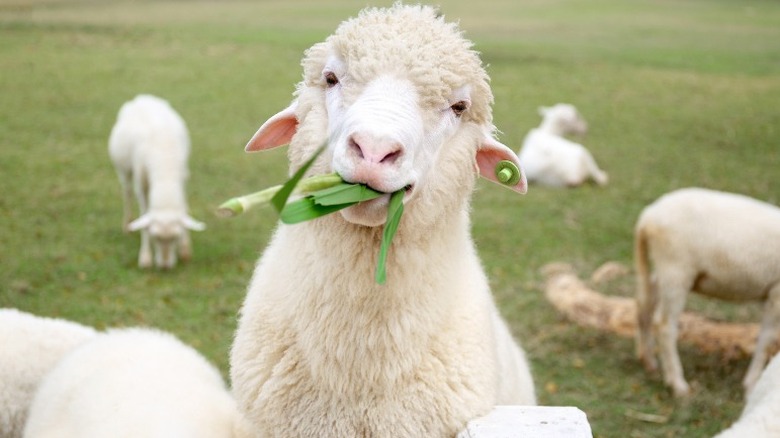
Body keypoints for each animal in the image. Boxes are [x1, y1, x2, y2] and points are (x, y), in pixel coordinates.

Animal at [110, 94, 207, 268]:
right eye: (155, 237)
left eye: (176, 237)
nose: (165, 267)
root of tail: (143, 96)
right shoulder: (141, 185)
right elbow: (144, 213)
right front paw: (145, 257)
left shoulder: (182, 178)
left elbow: (184, 208)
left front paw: (185, 250)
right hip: (124, 171)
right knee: (127, 193)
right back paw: (127, 225)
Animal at [632, 186, 780, 398]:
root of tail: (648, 217)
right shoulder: (777, 291)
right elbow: (767, 339)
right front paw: (751, 384)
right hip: (676, 269)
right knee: (665, 324)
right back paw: (678, 384)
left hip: (665, 272)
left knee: (644, 305)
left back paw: (649, 362)